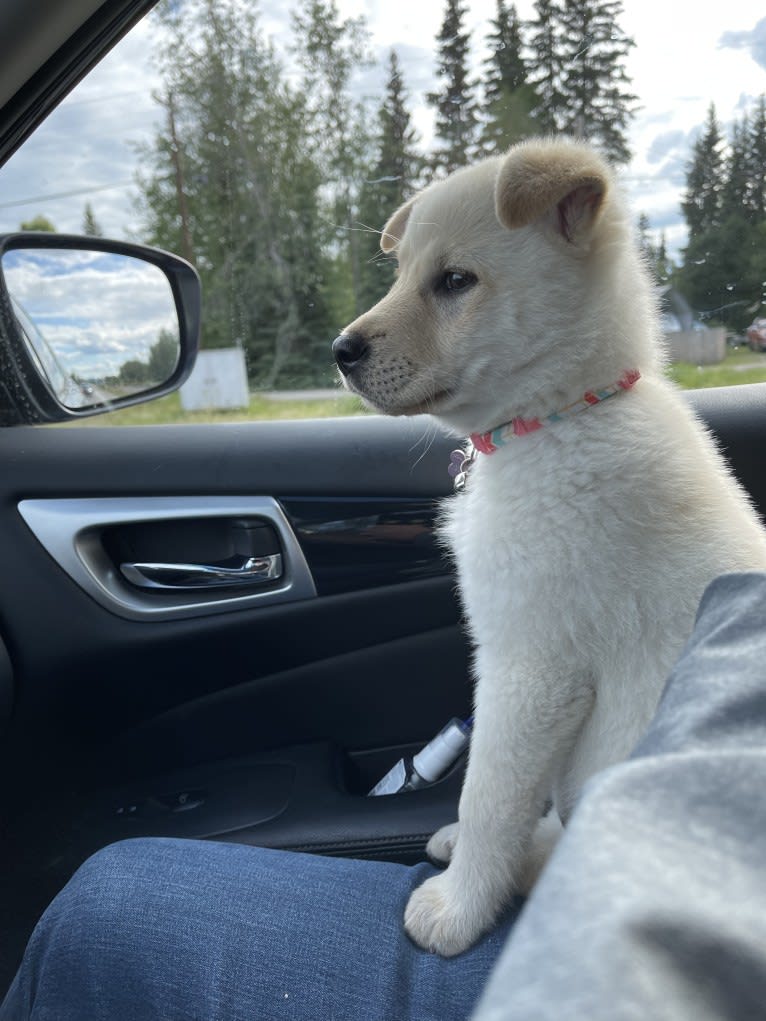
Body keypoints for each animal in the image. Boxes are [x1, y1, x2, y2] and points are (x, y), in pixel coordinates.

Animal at [334, 137, 766, 955]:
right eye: (401, 273)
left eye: (455, 281)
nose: (340, 350)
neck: (566, 413)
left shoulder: (533, 669)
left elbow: (488, 797)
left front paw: (458, 909)